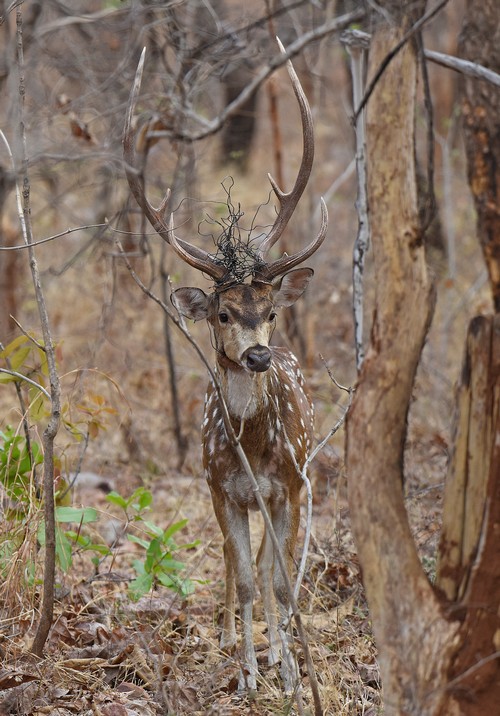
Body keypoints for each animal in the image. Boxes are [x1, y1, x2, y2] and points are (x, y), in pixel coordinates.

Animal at [123, 42, 328, 692]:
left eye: (269, 310)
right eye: (221, 313)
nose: (258, 354)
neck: (254, 447)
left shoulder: (290, 484)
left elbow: (281, 583)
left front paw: (288, 673)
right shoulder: (220, 489)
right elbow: (241, 578)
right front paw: (246, 676)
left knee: (267, 570)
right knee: (237, 566)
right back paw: (234, 642)